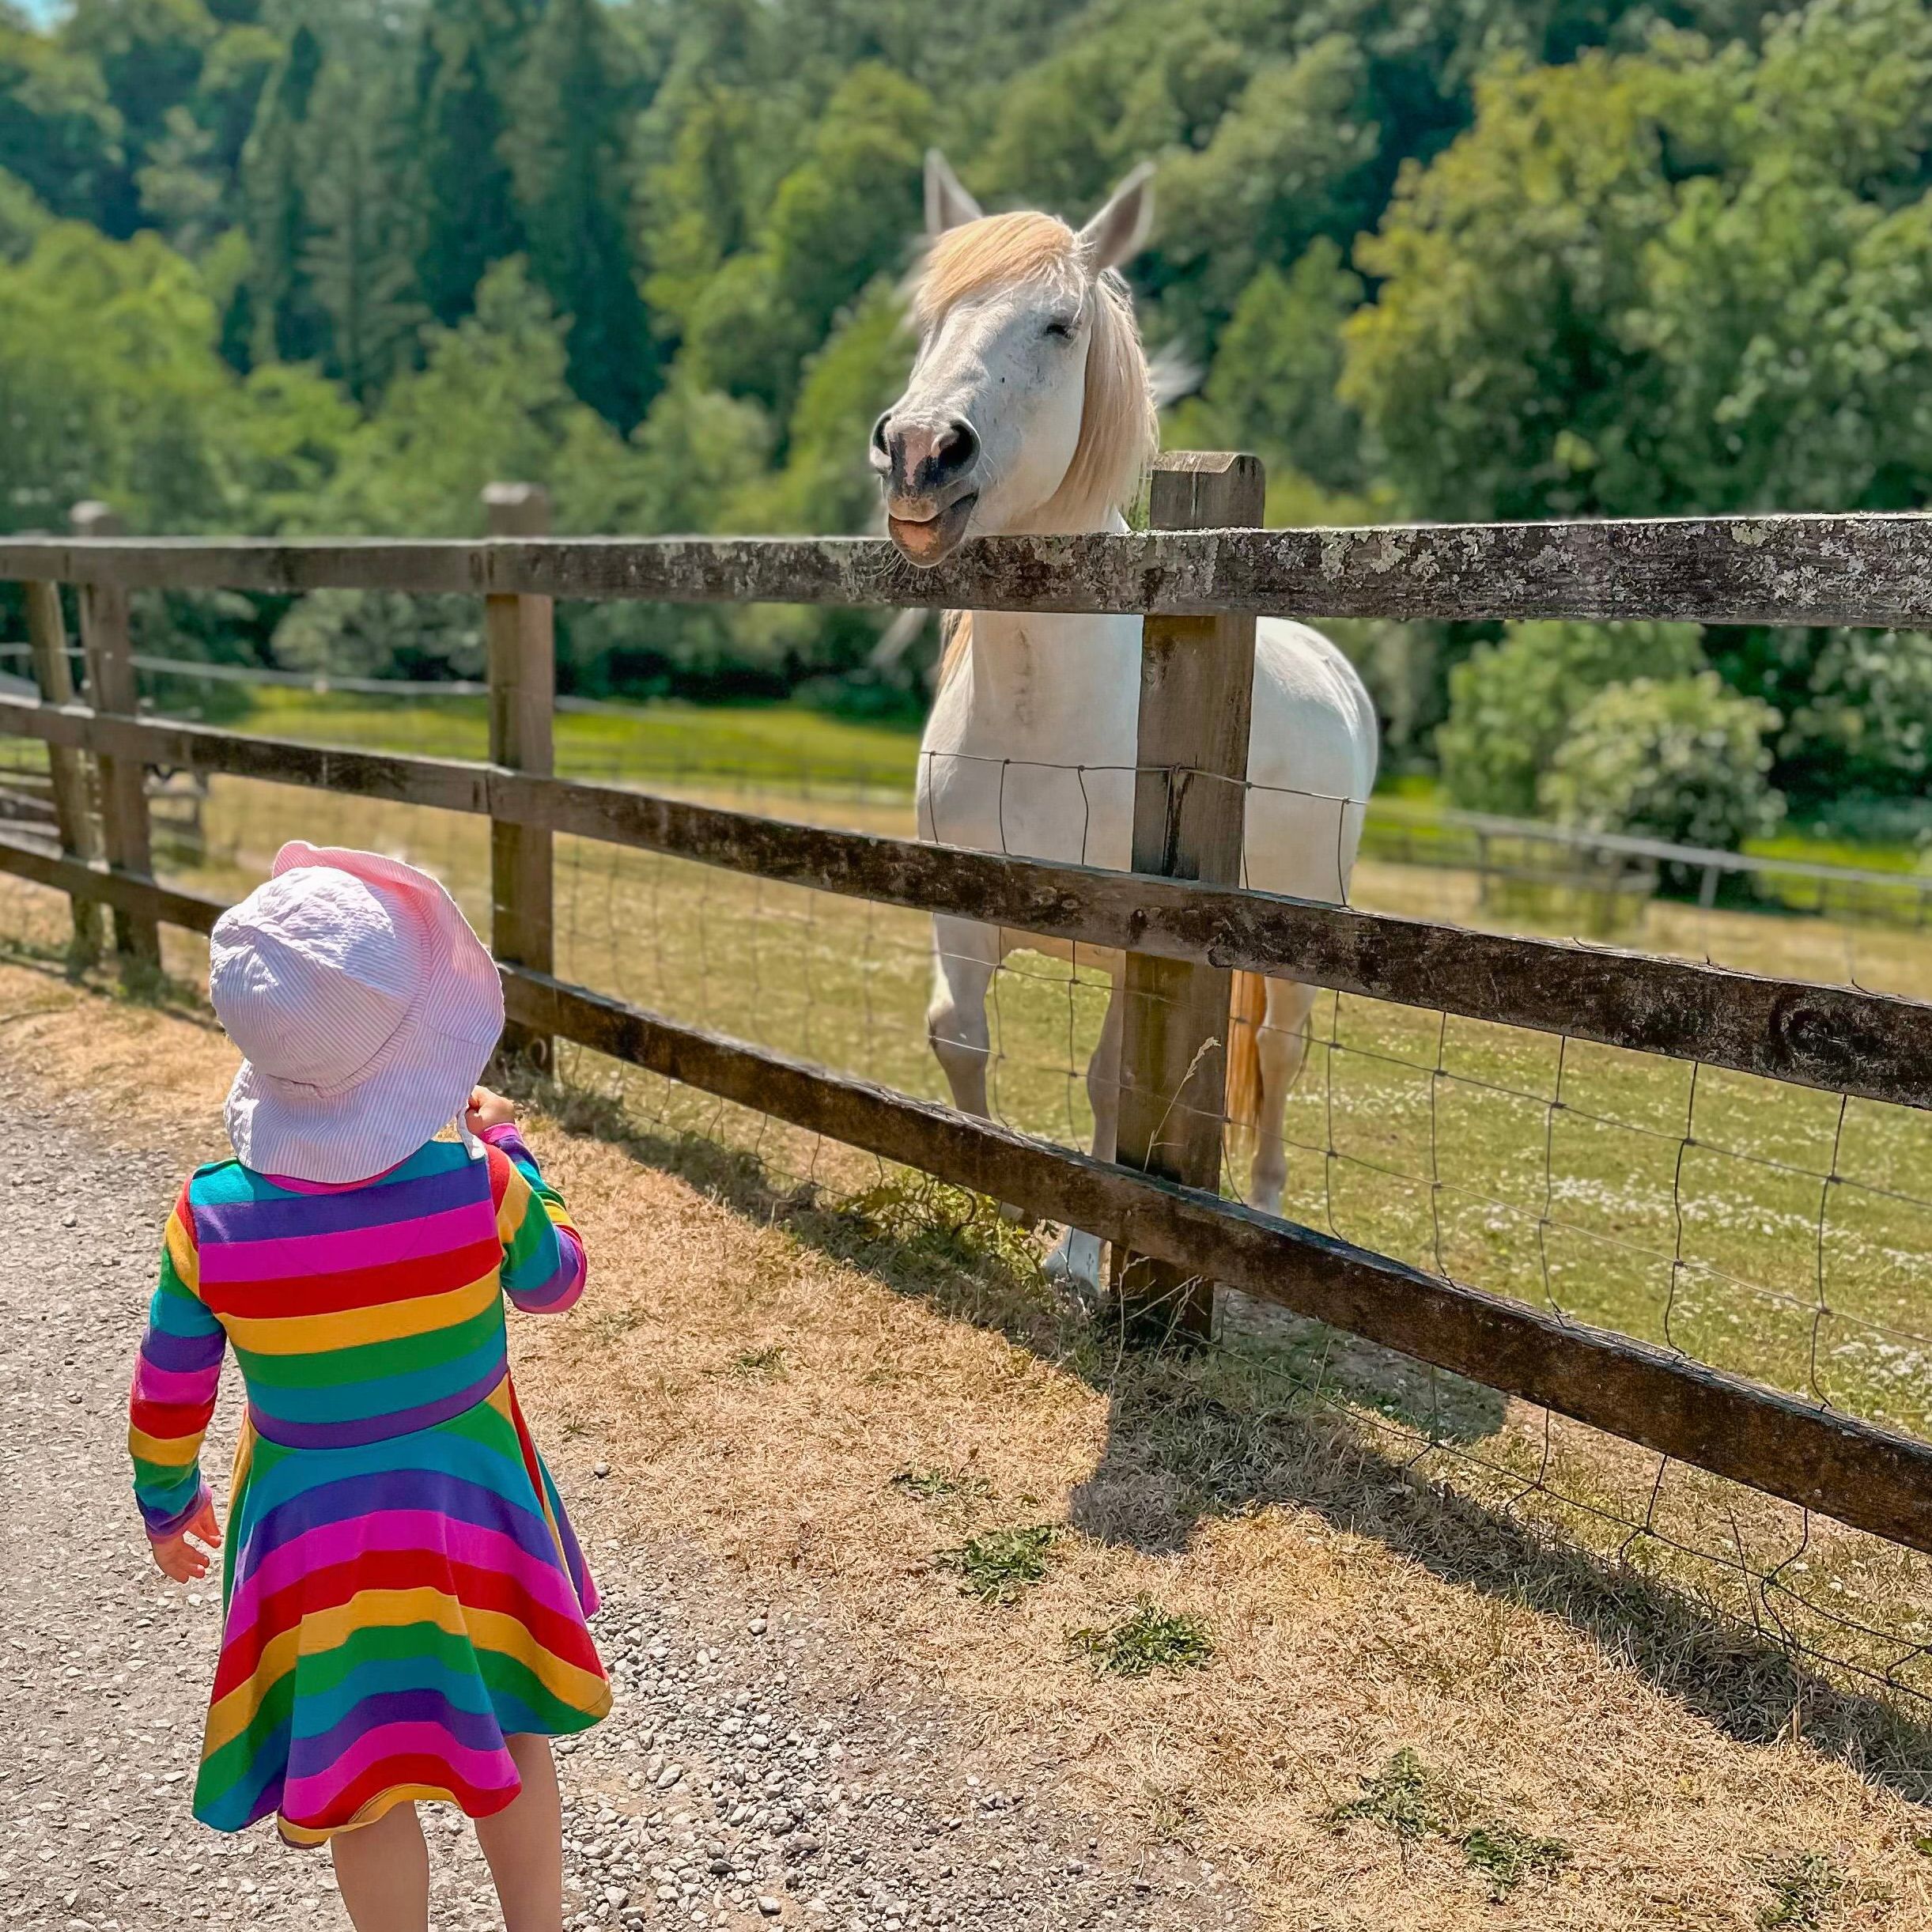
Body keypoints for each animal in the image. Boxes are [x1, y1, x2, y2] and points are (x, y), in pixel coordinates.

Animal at [871, 151, 1380, 1293]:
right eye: (929, 317)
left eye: (1058, 325)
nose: (919, 451)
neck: (1040, 709)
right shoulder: (958, 912)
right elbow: (956, 1037)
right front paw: (1001, 1191)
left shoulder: (1130, 940)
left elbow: (1111, 1084)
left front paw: (1079, 1247)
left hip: (1298, 940)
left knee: (1278, 1057)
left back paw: (1263, 1215)